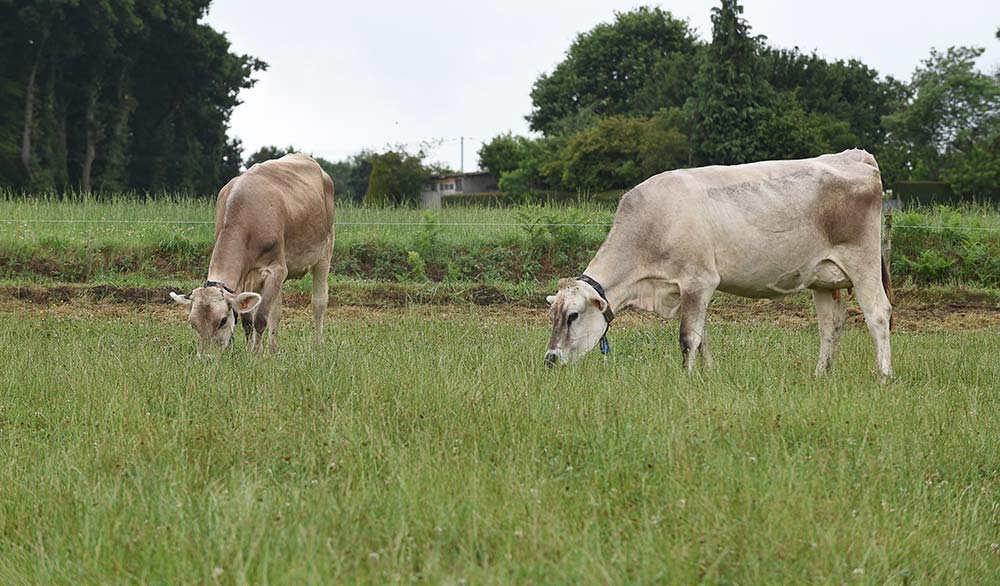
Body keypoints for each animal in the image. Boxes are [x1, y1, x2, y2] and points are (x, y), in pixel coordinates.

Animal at [168, 152, 332, 356]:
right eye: (192, 324)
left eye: (222, 320)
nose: (206, 357)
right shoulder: (247, 278)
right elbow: (248, 320)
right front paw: (249, 350)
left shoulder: (276, 270)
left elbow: (260, 318)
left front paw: (255, 354)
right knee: (276, 311)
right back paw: (273, 348)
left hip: (324, 253)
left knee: (318, 302)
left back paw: (318, 345)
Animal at [544, 148, 896, 380]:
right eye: (553, 315)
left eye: (573, 316)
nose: (550, 359)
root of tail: (854, 155)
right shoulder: (690, 290)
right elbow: (703, 337)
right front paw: (709, 374)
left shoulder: (698, 281)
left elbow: (688, 338)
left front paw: (685, 380)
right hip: (822, 277)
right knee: (830, 324)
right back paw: (820, 374)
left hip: (863, 263)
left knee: (878, 314)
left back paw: (884, 376)